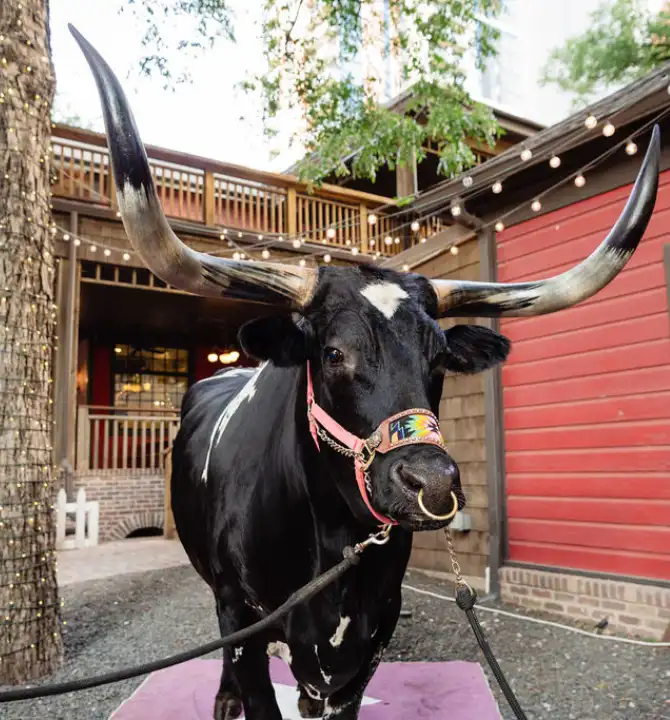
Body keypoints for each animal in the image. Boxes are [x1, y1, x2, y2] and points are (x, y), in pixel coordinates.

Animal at [71, 25, 660, 720]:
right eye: (333, 353)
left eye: (439, 359)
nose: (430, 483)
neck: (335, 547)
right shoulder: (242, 616)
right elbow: (249, 674)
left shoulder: (371, 641)